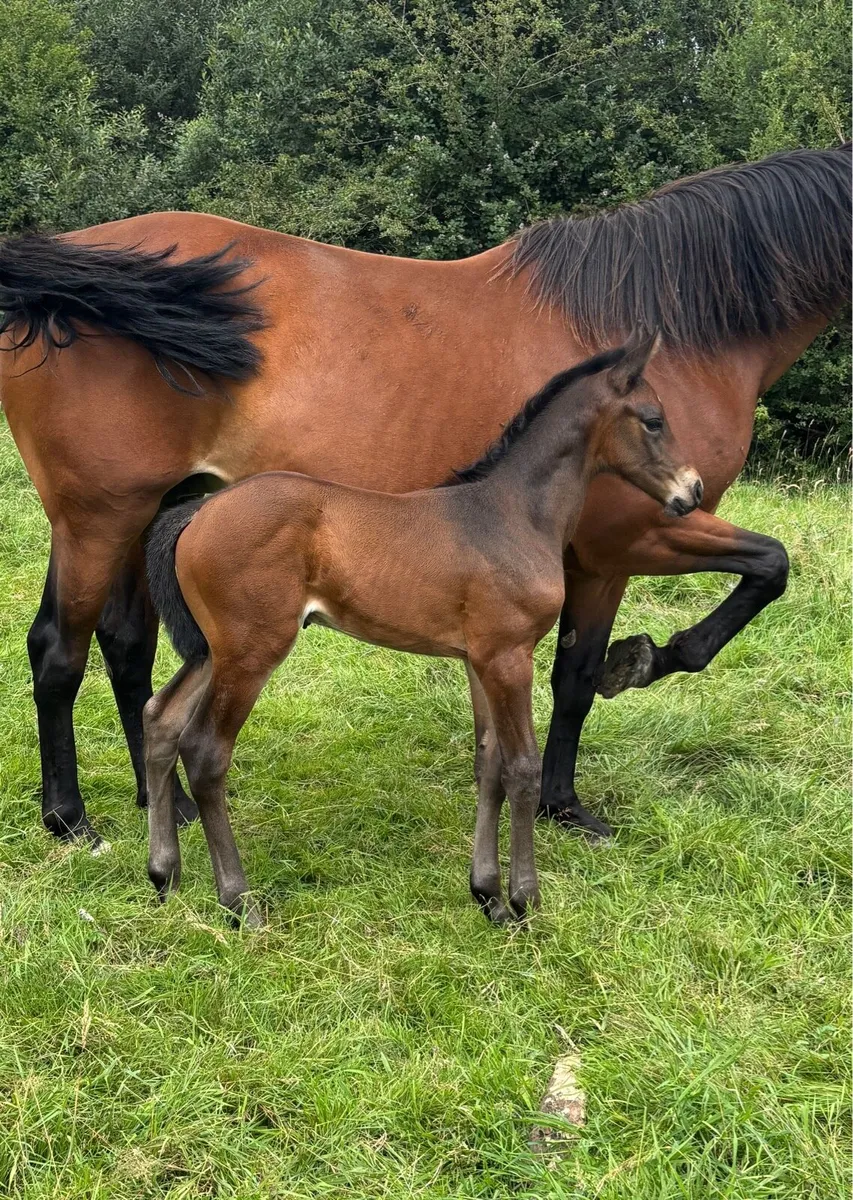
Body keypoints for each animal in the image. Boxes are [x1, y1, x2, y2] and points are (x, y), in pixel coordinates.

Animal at [0, 144, 849, 847]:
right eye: (649, 419)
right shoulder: (629, 539)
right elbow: (718, 595)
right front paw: (611, 721)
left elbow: (599, 658)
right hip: (97, 517)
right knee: (60, 651)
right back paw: (70, 819)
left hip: (148, 514)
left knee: (125, 648)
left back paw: (165, 804)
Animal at [142, 336, 702, 925]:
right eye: (654, 419)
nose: (693, 490)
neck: (513, 514)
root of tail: (198, 513)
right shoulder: (511, 657)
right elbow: (523, 767)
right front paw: (524, 900)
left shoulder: (481, 660)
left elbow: (490, 763)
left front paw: (488, 895)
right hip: (252, 651)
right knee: (205, 750)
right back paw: (238, 900)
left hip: (213, 650)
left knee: (160, 718)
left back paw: (164, 874)